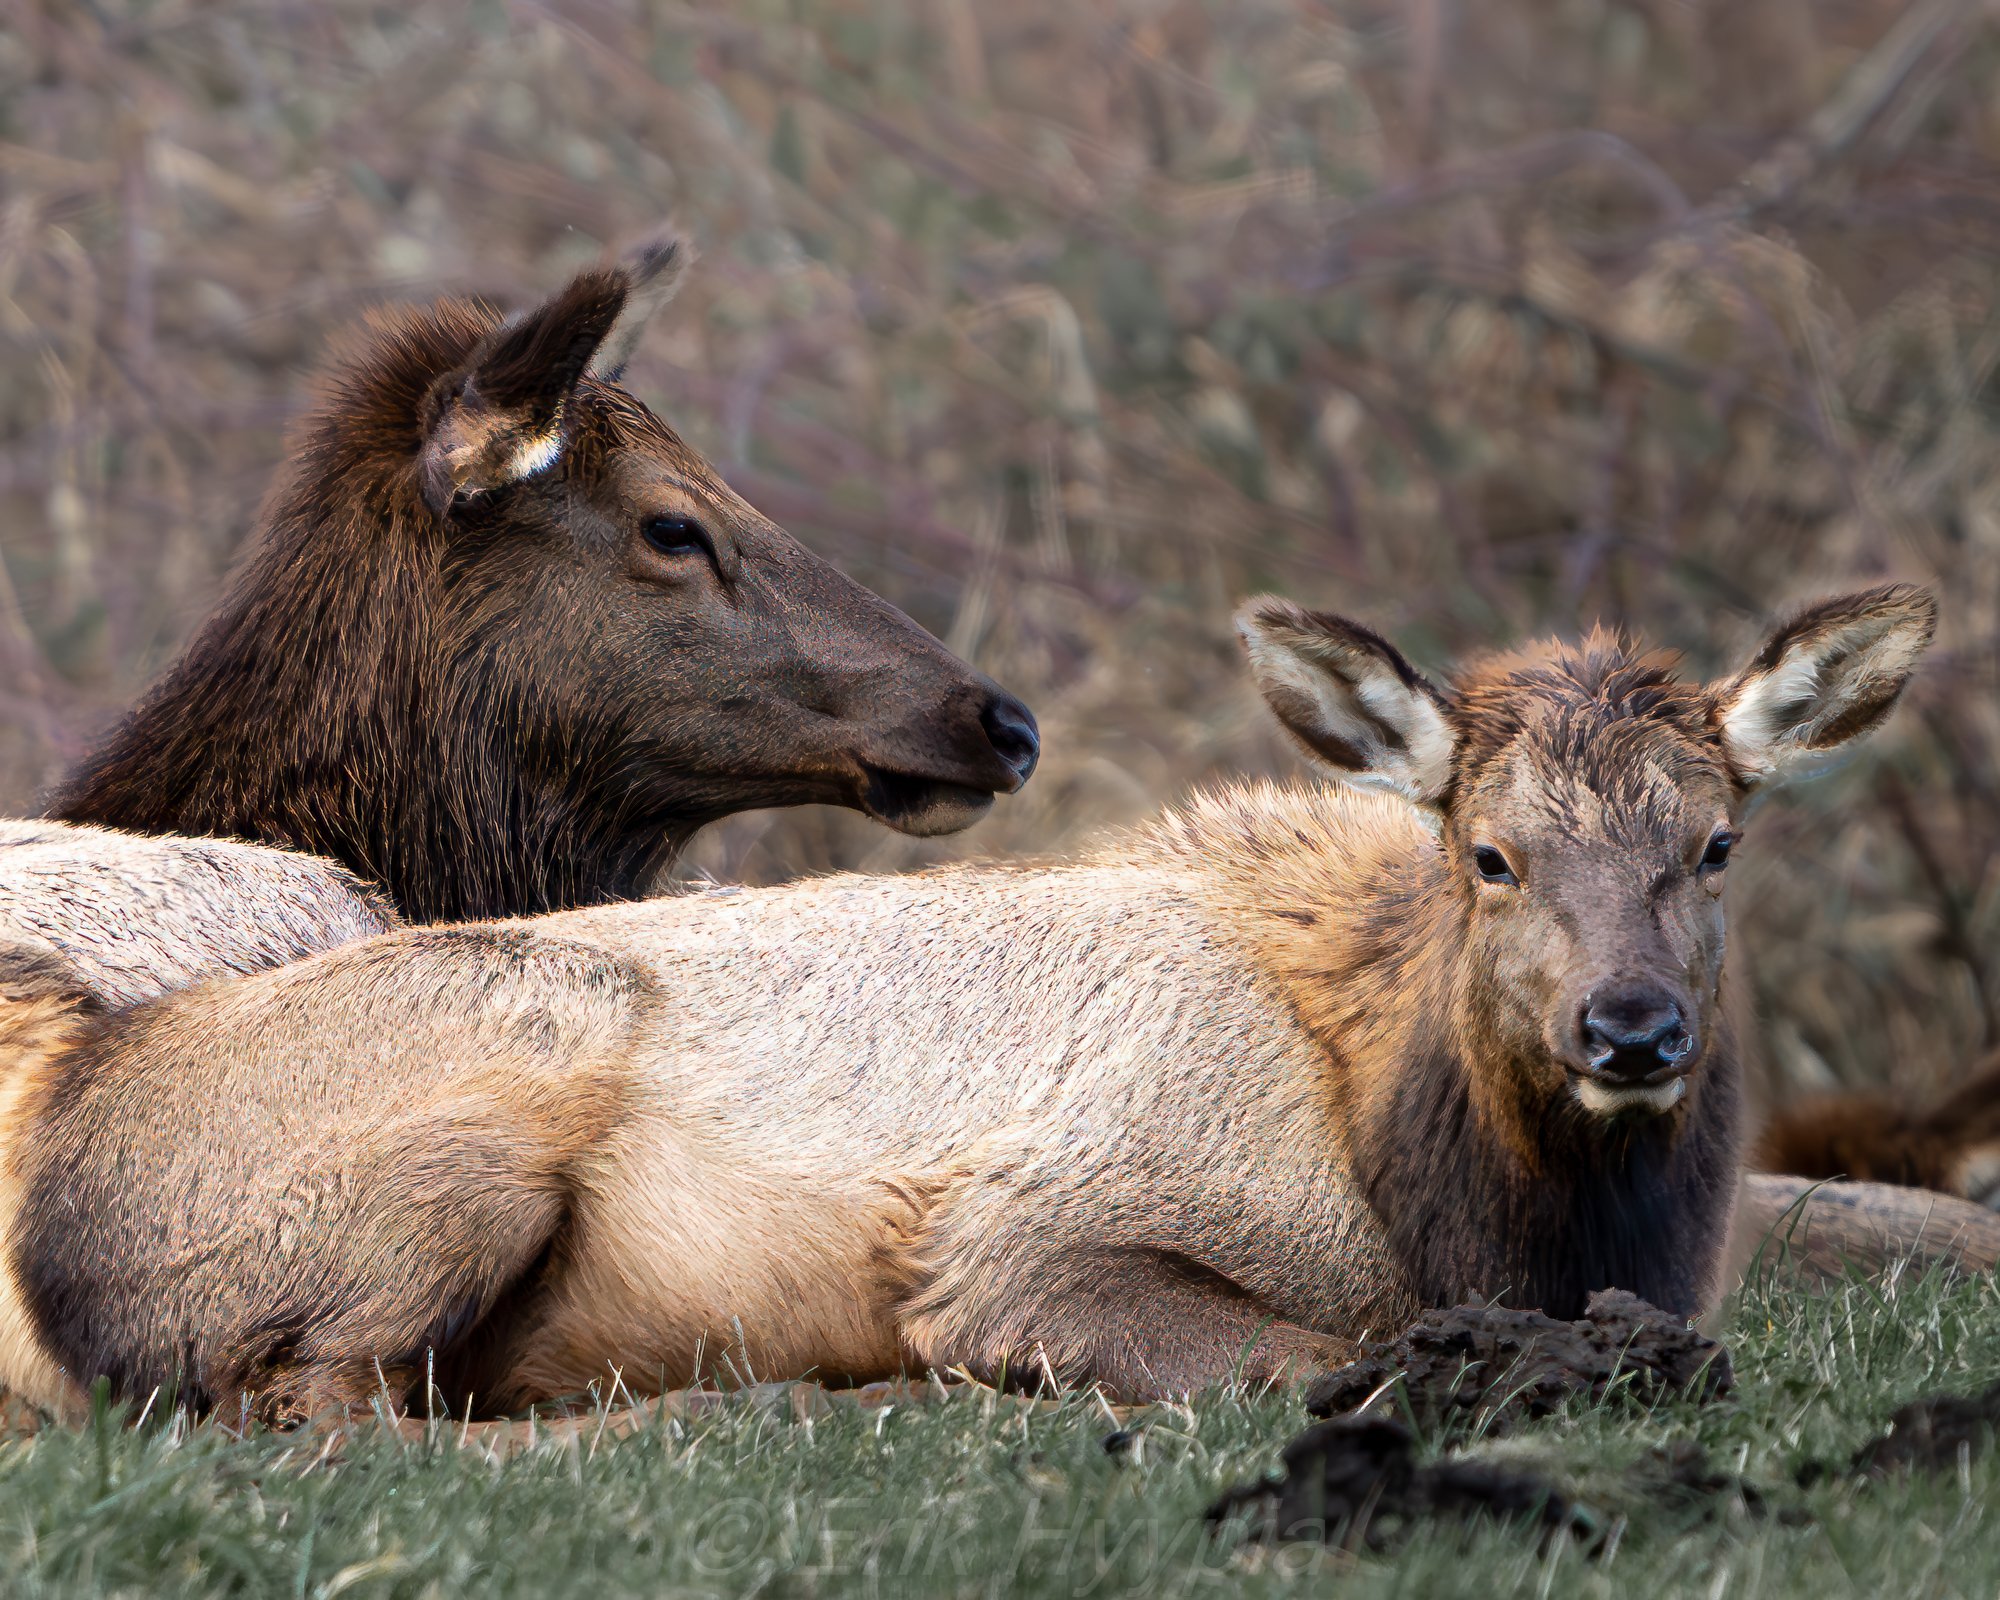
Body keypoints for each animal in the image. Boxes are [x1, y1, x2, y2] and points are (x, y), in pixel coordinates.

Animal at [0, 584, 1977, 1422]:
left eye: (1716, 844)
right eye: (1487, 854)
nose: (1630, 1032)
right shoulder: (1026, 1232)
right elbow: (1311, 1360)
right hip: (492, 1091)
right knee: (309, 1407)